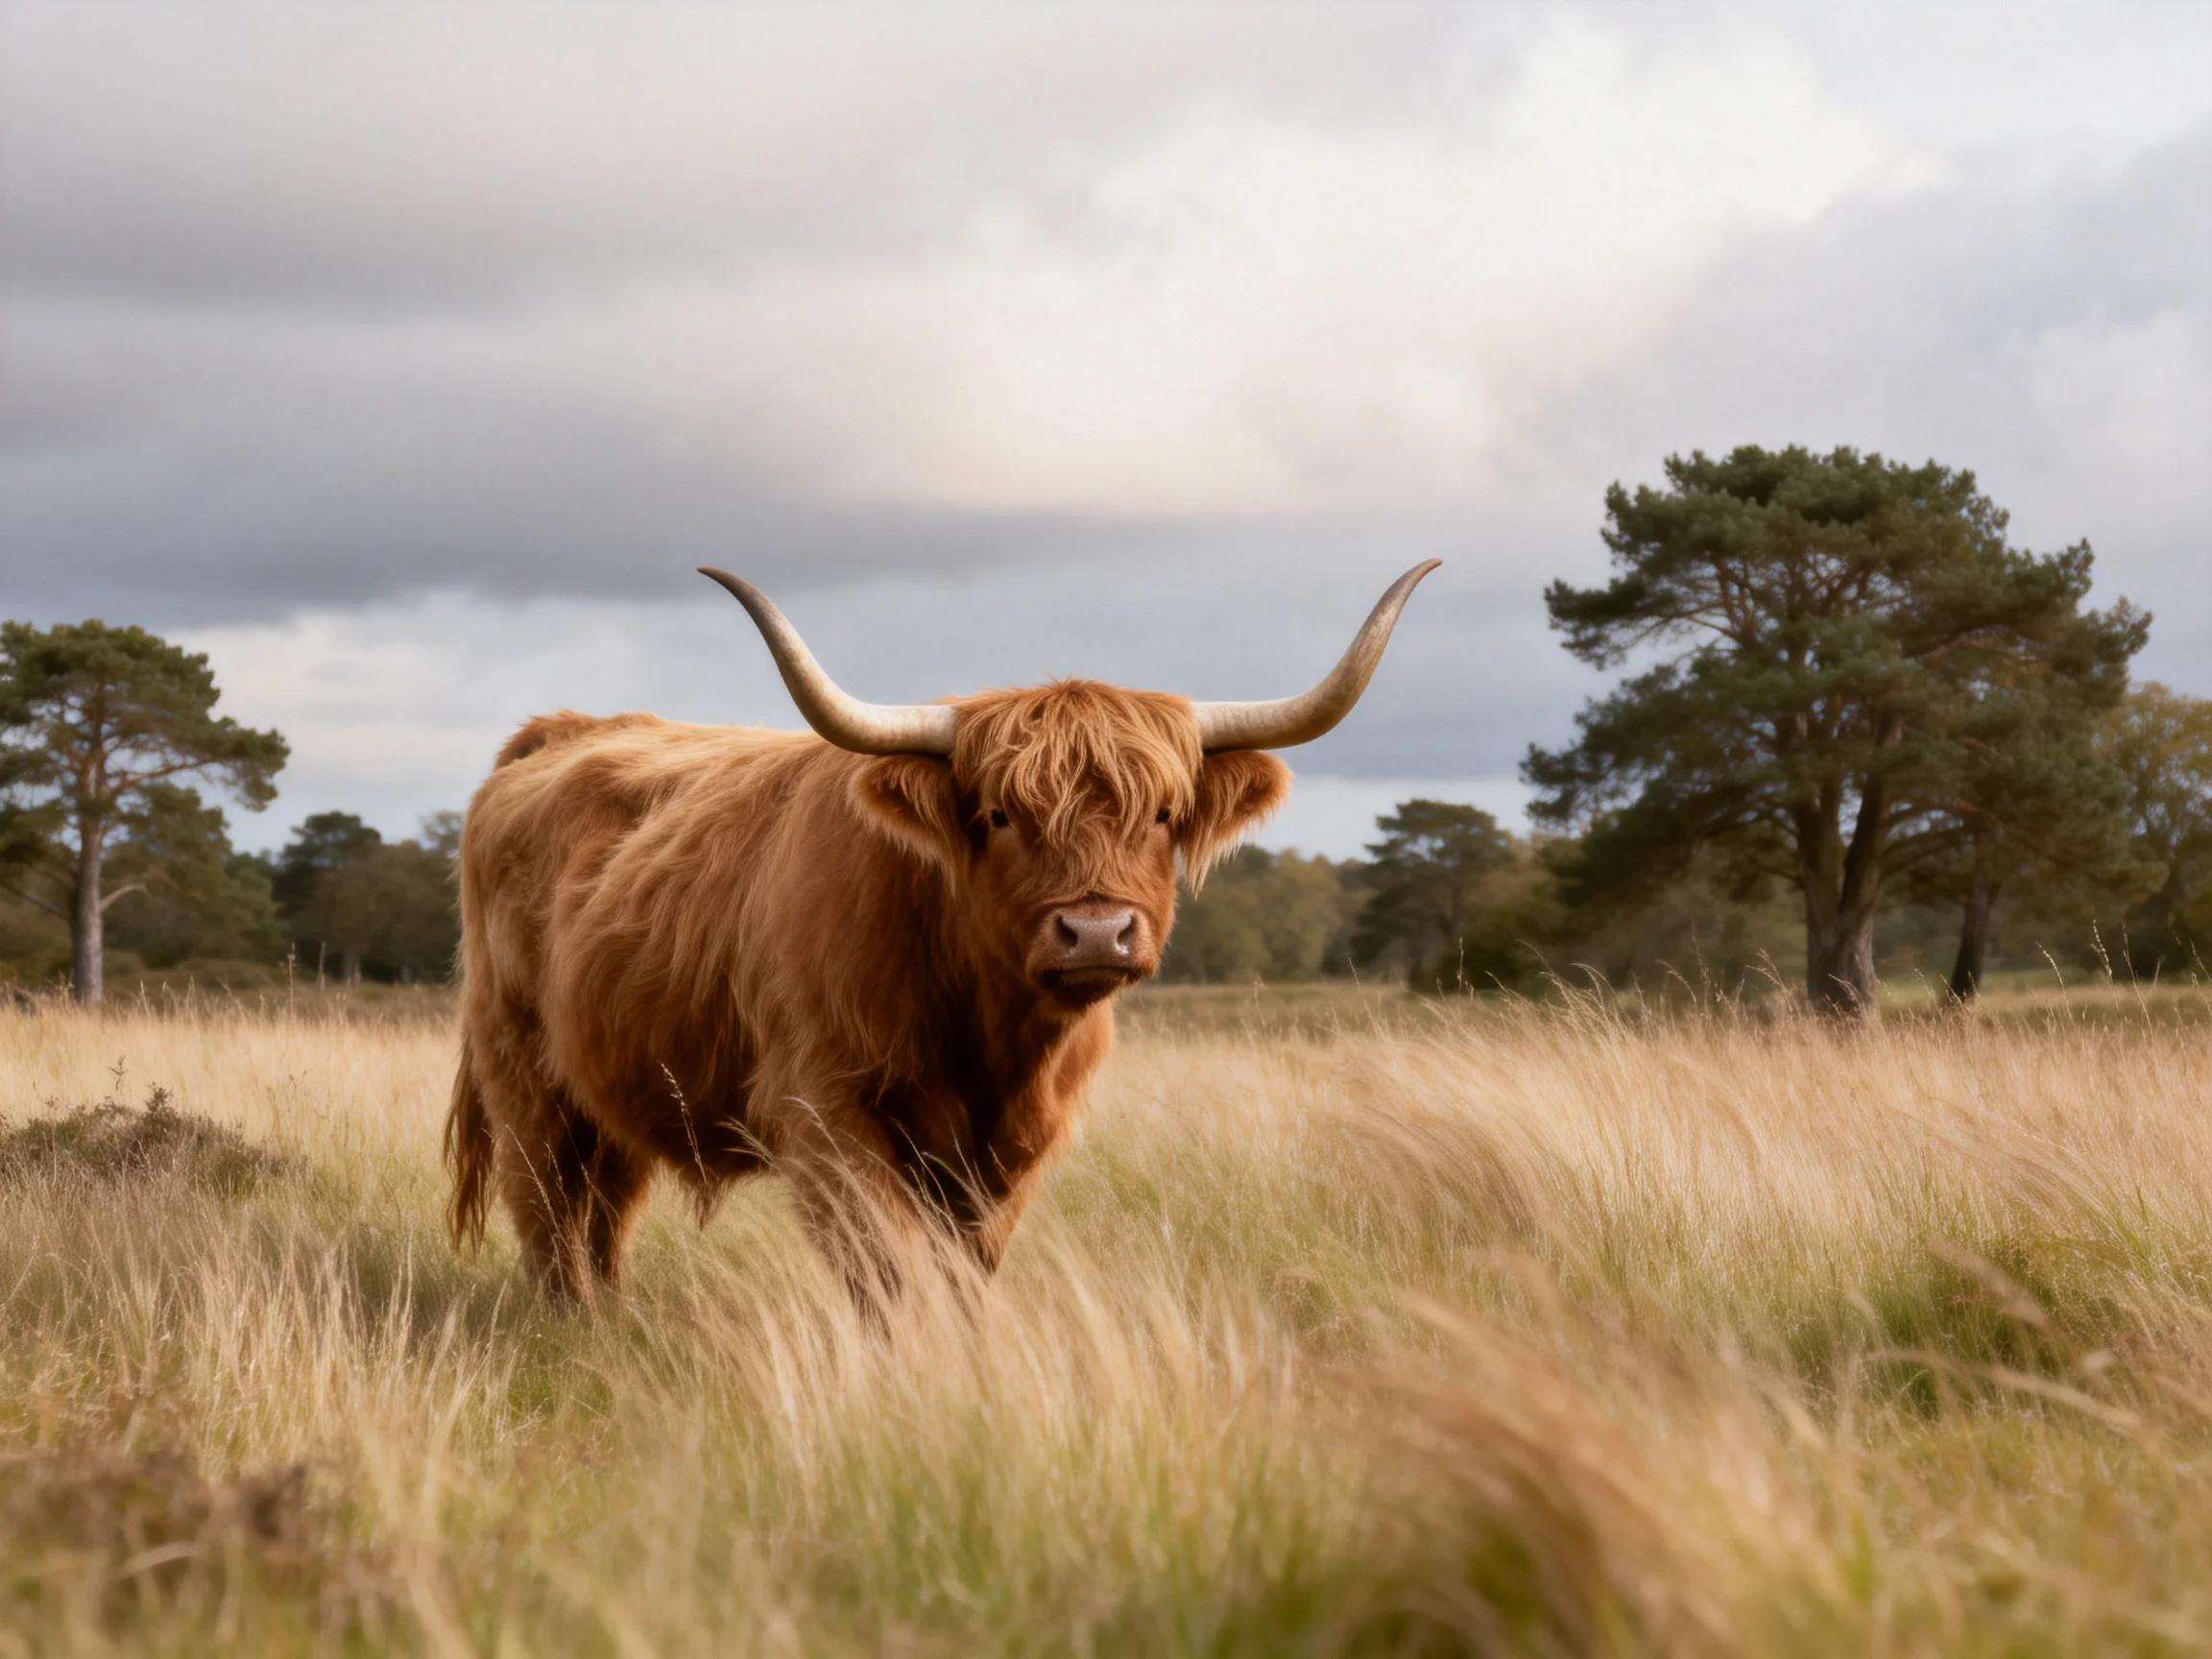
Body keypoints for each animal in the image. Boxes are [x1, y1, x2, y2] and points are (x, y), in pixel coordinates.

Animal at [443, 560, 1438, 1305]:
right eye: (998, 814)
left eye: (1162, 814)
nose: (1096, 933)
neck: (988, 1034)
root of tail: (562, 729)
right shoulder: (824, 1111)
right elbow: (887, 1269)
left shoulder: (1014, 1146)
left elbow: (966, 1270)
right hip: (521, 1070)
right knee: (547, 1207)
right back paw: (575, 1327)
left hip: (612, 1082)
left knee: (605, 1207)